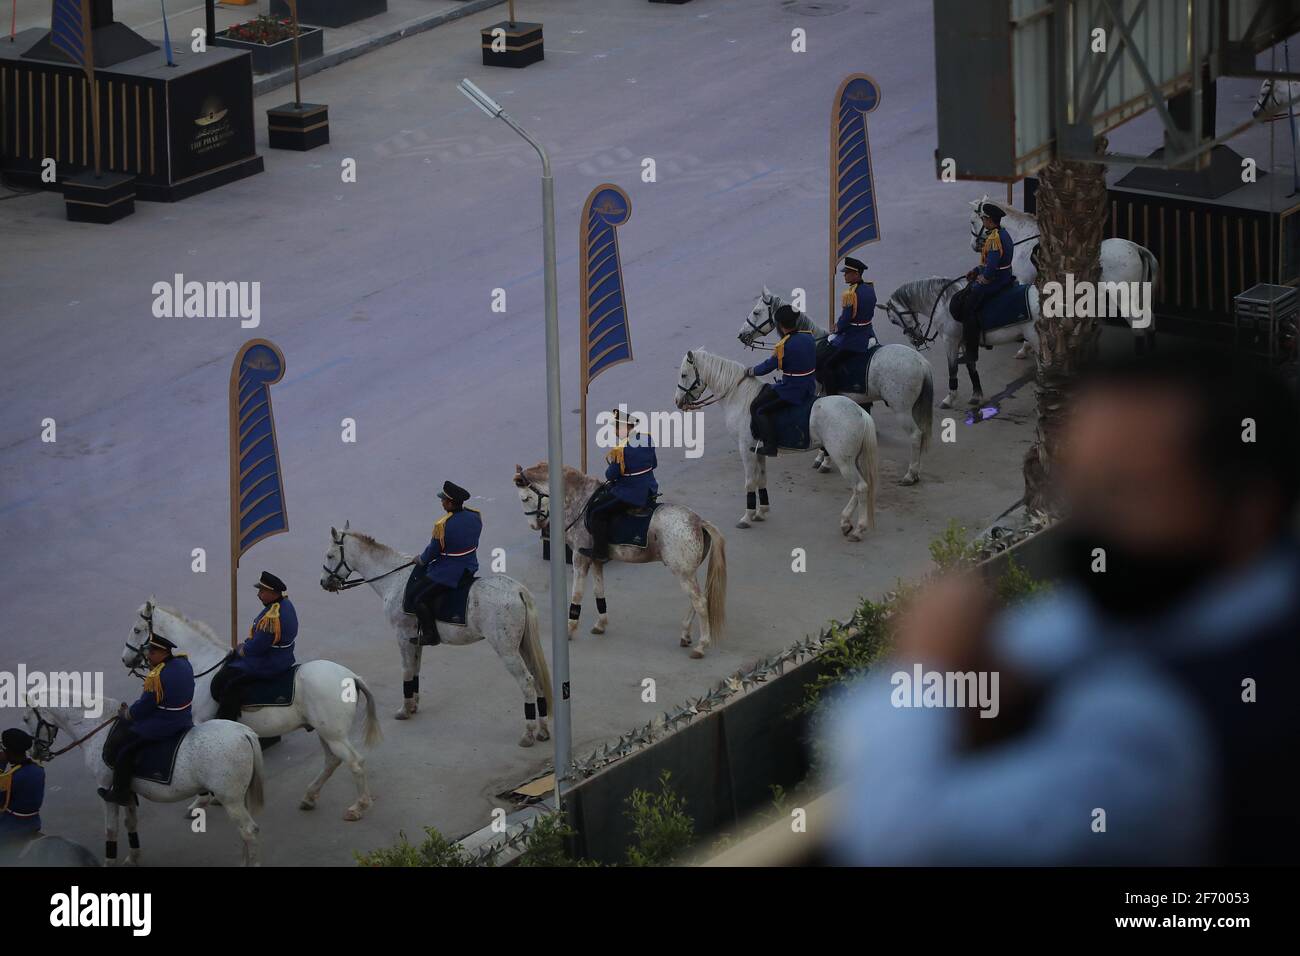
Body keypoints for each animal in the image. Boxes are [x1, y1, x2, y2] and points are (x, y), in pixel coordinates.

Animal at [25, 697, 263, 868]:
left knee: (249, 831)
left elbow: (110, 829)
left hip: (230, 800)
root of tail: (245, 732)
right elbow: (130, 823)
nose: (35, 752)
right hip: (240, 798)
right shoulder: (127, 791)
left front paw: (109, 861)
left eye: (26, 719)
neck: (99, 728)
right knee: (246, 834)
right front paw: (133, 857)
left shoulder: (106, 790)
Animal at [676, 348, 878, 538]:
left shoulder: (746, 450)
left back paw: (859, 529)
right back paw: (845, 522)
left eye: (684, 375)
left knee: (860, 488)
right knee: (860, 488)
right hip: (852, 460)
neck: (740, 397)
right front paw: (761, 511)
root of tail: (861, 412)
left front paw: (747, 517)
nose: (677, 401)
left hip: (843, 460)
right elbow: (762, 479)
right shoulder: (758, 451)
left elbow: (750, 482)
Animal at [733, 287, 935, 486]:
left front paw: (824, 460)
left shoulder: (818, 398)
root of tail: (922, 362)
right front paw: (822, 458)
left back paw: (910, 474)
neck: (815, 346)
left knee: (916, 435)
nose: (741, 335)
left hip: (901, 409)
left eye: (756, 312)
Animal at [878, 277, 1040, 411]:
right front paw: (976, 395)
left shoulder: (950, 341)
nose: (915, 340)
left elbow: (953, 368)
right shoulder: (965, 342)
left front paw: (950, 398)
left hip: (1036, 339)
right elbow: (971, 366)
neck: (943, 305)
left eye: (893, 320)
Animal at [967, 195, 1159, 356]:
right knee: (1150, 322)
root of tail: (1136, 248)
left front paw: (1025, 347)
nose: (973, 245)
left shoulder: (1024, 282)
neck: (1022, 239)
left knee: (1138, 326)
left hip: (1124, 299)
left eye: (972, 222)